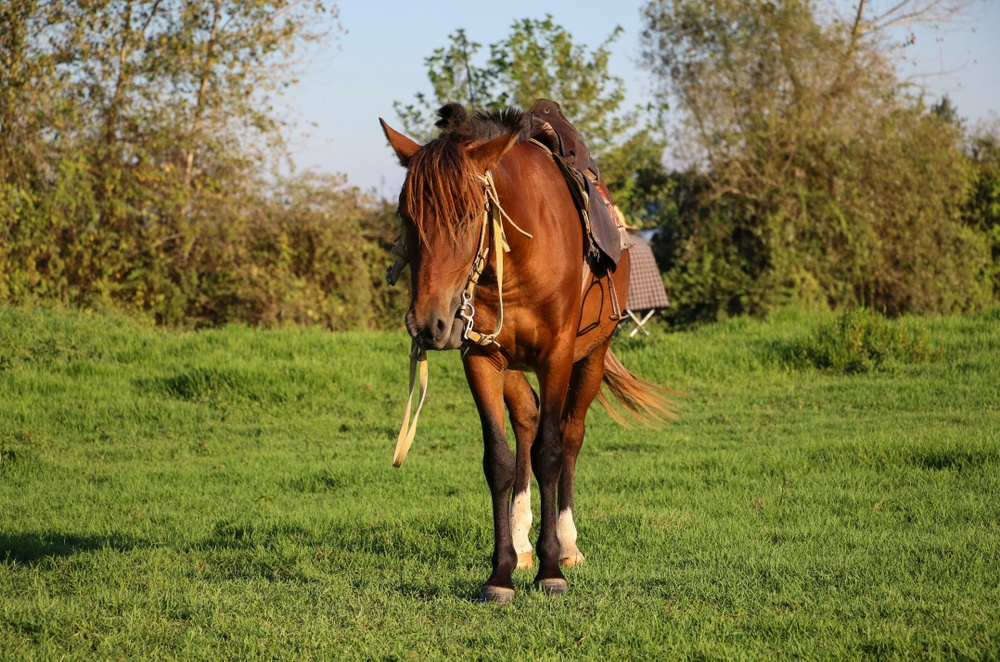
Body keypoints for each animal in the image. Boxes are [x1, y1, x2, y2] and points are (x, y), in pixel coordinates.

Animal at [380, 104, 672, 608]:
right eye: (406, 216)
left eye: (469, 215)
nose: (428, 323)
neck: (518, 254)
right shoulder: (479, 358)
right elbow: (498, 459)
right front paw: (500, 572)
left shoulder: (556, 356)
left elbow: (551, 453)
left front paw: (551, 570)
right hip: (512, 365)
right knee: (527, 420)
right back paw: (520, 544)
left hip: (591, 357)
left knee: (568, 435)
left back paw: (567, 545)